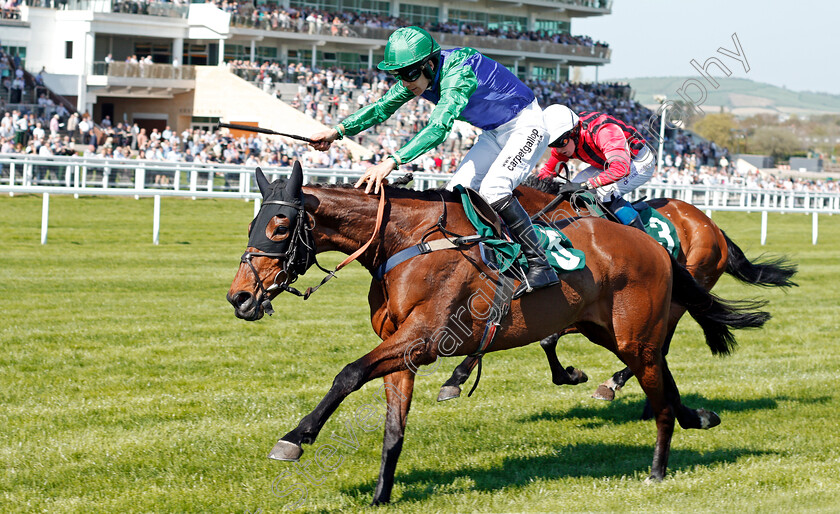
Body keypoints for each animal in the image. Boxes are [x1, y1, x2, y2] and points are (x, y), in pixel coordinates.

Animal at [440, 178, 800, 402]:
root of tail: (712, 225)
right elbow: (532, 338)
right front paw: (456, 377)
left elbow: (545, 338)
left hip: (676, 297)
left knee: (658, 346)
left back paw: (613, 384)